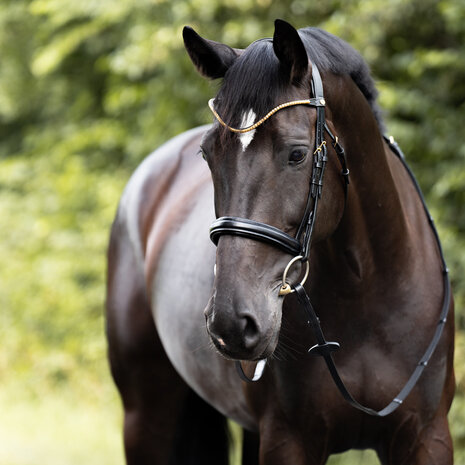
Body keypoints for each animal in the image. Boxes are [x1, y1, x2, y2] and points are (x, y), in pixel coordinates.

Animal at [106, 19, 454, 464]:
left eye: (297, 154)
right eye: (207, 154)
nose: (231, 322)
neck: (368, 289)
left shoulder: (427, 437)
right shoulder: (288, 440)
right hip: (146, 417)